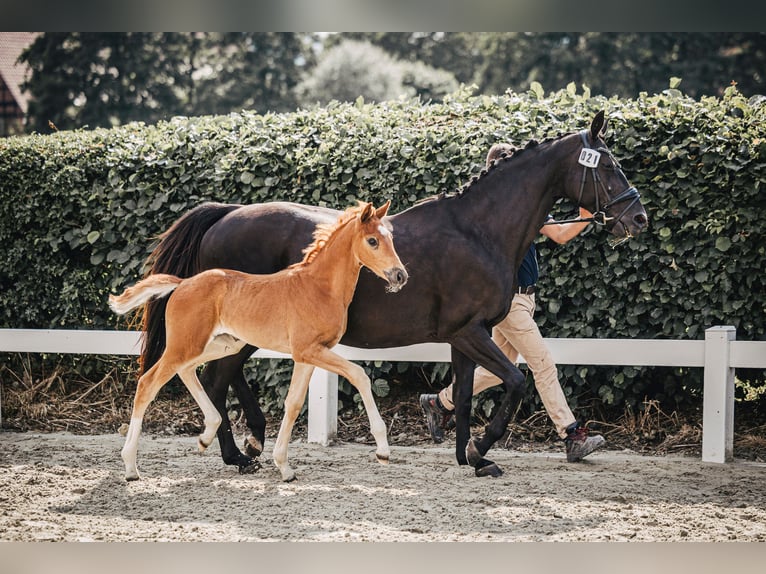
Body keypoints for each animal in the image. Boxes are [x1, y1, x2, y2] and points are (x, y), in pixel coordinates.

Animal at [111, 202, 408, 482]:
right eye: (372, 241)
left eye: (391, 238)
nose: (400, 275)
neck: (318, 288)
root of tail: (182, 283)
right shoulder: (310, 350)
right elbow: (360, 375)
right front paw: (383, 451)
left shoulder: (308, 355)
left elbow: (293, 403)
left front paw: (284, 468)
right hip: (186, 344)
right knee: (148, 383)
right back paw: (130, 467)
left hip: (222, 344)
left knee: (187, 371)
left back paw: (206, 437)